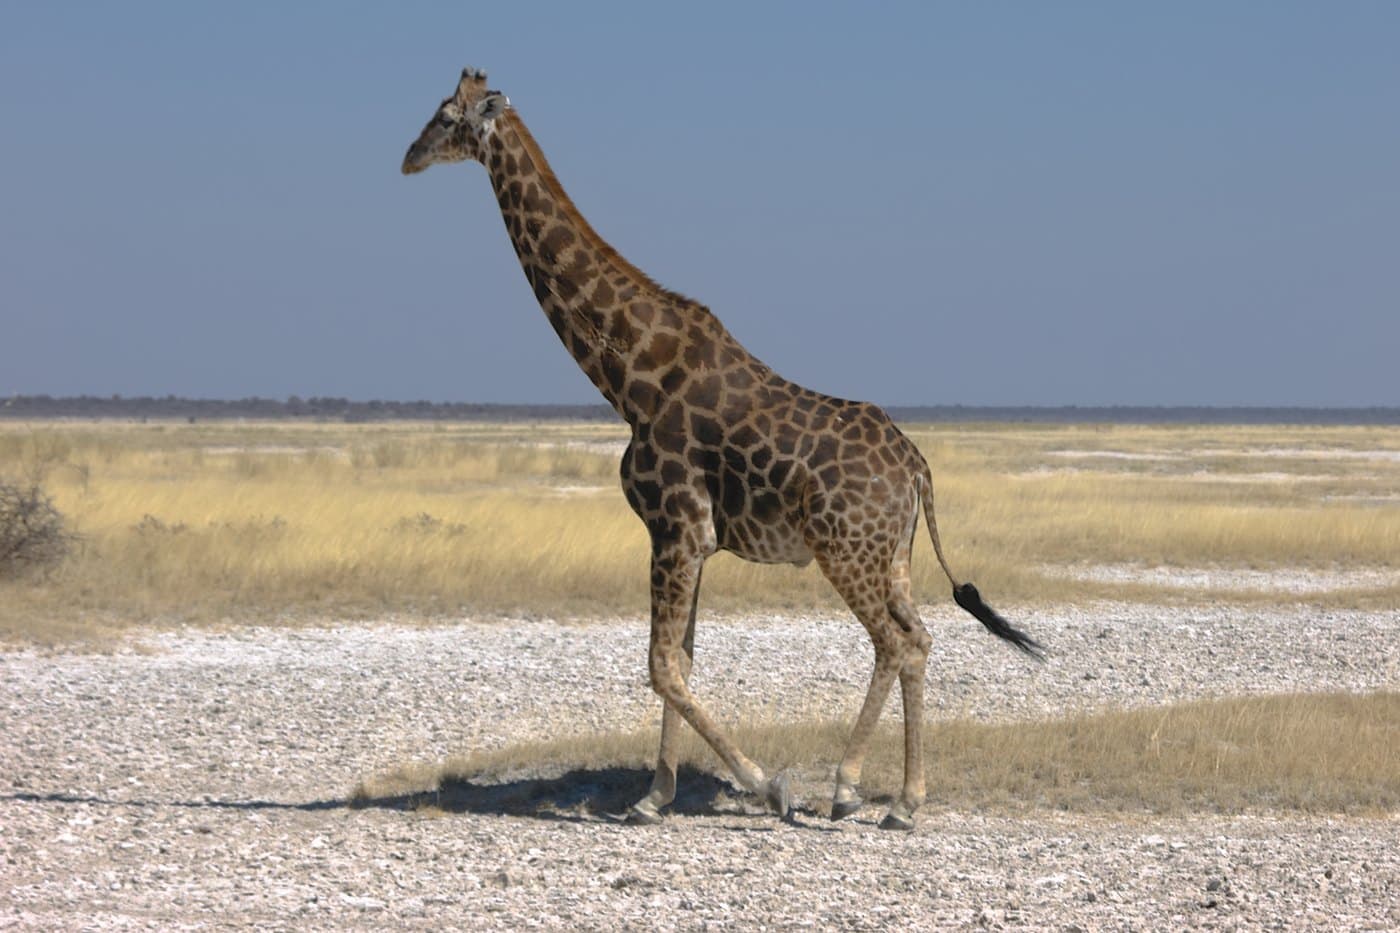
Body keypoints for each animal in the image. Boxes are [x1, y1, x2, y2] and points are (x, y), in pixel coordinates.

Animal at [402, 67, 1043, 831]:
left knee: (893, 642)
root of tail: (917, 467)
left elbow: (660, 665)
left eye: (446, 118)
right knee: (918, 640)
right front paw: (655, 796)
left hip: (844, 550)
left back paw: (845, 788)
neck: (629, 380)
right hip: (892, 555)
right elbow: (682, 660)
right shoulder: (692, 538)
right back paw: (905, 802)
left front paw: (768, 786)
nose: (407, 158)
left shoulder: (676, 526)